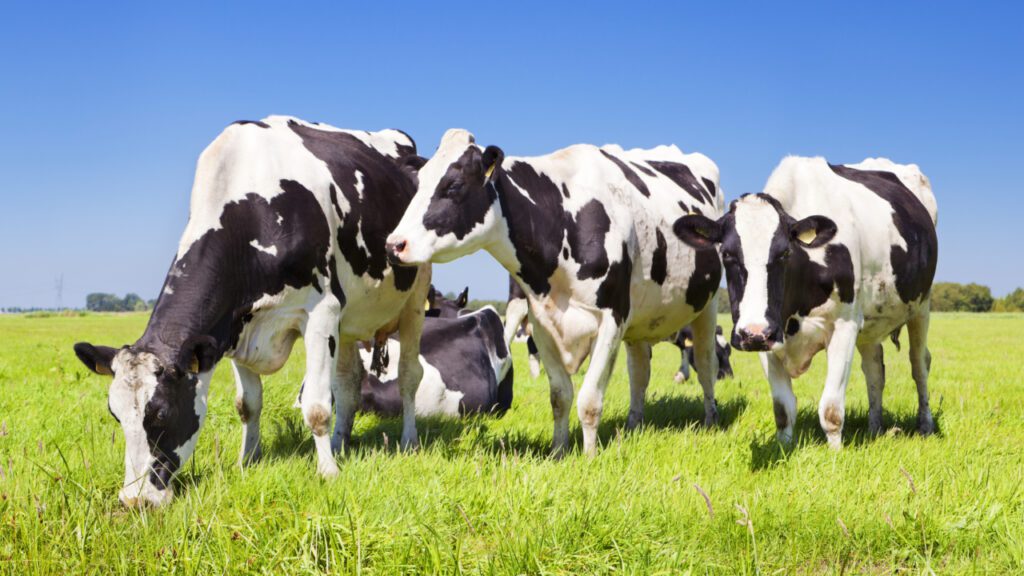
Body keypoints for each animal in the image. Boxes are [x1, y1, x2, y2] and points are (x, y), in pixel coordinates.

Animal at [72, 115, 430, 502]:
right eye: (115, 414)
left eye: (162, 414)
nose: (134, 499)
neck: (257, 206)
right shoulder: (232, 328)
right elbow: (248, 405)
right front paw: (247, 462)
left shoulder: (322, 312)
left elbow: (317, 407)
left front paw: (328, 472)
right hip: (350, 318)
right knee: (348, 383)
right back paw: (340, 444)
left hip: (416, 295)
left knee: (409, 375)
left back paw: (408, 441)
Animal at [385, 129, 729, 453]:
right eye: (419, 184)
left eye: (453, 185)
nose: (394, 244)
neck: (563, 220)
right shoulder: (542, 322)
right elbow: (560, 396)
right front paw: (559, 451)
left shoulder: (612, 318)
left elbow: (589, 400)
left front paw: (589, 456)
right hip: (641, 317)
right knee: (640, 371)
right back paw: (633, 425)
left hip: (708, 305)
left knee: (705, 363)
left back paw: (710, 420)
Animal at [675, 156, 937, 448]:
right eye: (727, 254)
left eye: (784, 253)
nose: (753, 333)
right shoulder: (769, 335)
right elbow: (783, 409)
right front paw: (784, 448)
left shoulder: (844, 325)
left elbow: (831, 409)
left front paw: (836, 454)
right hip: (870, 324)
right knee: (874, 371)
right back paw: (874, 428)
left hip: (922, 306)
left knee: (919, 363)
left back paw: (925, 425)